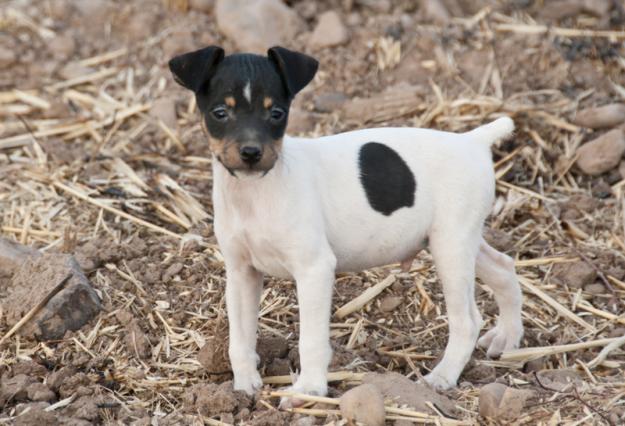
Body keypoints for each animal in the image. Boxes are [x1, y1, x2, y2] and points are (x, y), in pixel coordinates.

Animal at [168, 45, 524, 400]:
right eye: (220, 113)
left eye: (277, 114)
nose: (251, 153)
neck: (257, 192)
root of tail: (472, 140)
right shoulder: (242, 273)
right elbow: (240, 338)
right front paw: (243, 385)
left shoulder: (314, 269)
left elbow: (311, 340)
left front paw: (309, 390)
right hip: (457, 241)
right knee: (503, 267)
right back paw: (507, 337)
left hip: (450, 248)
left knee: (467, 321)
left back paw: (443, 376)